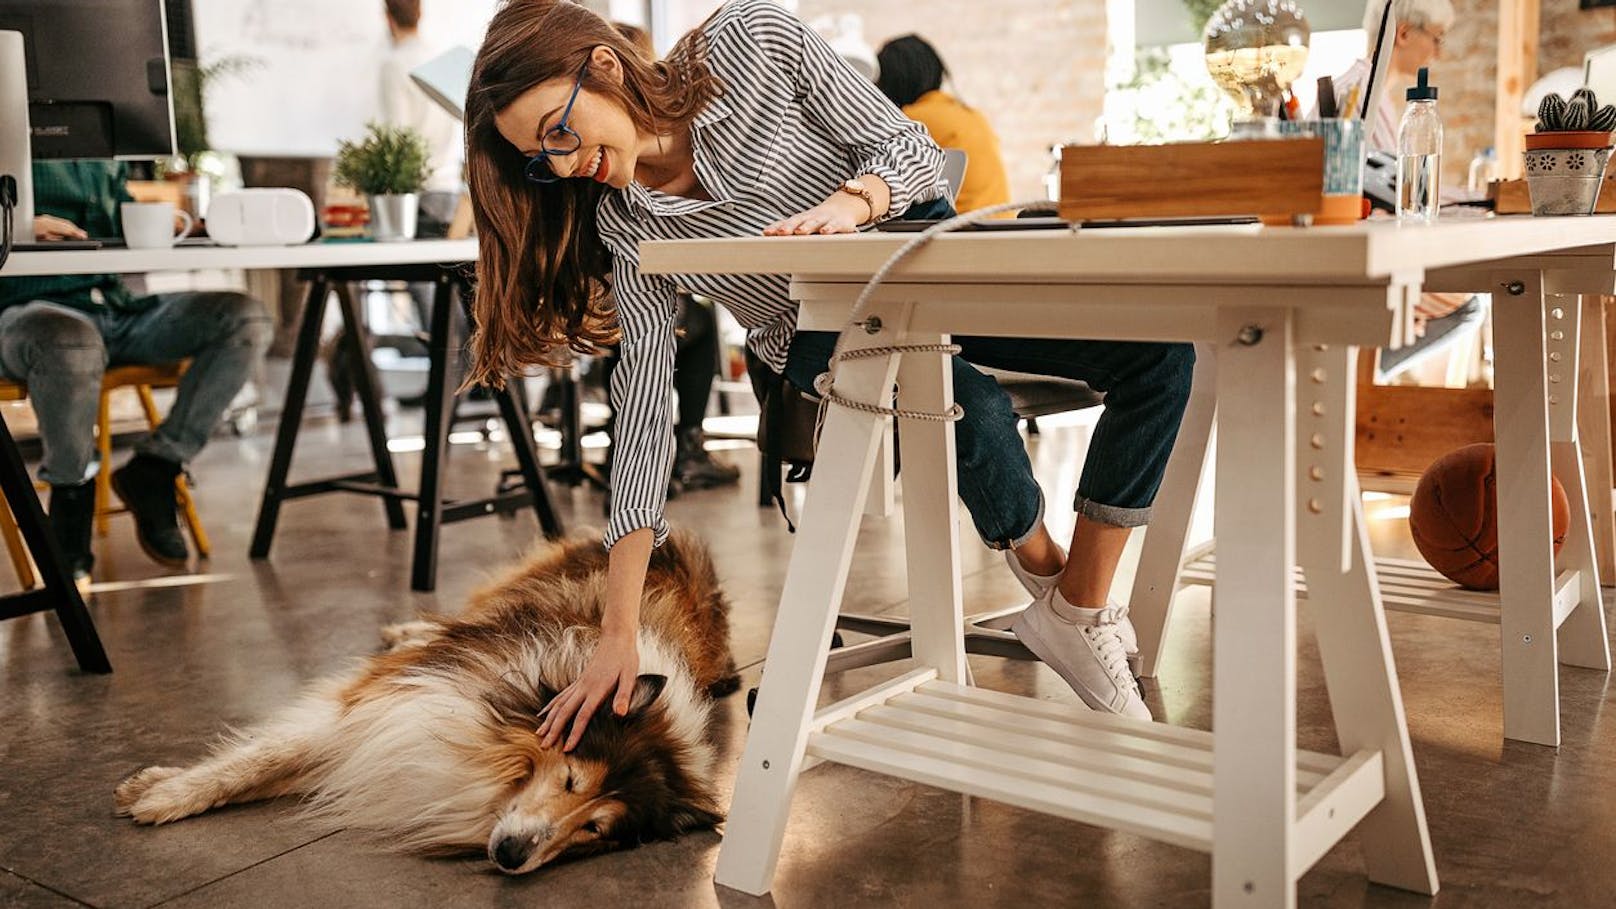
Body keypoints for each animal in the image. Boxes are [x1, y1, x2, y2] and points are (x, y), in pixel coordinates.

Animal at [112, 530, 740, 873]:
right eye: (569, 780)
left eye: (596, 830)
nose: (513, 855)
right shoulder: (383, 702)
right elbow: (254, 762)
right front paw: (161, 795)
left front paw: (158, 790)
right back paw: (407, 630)